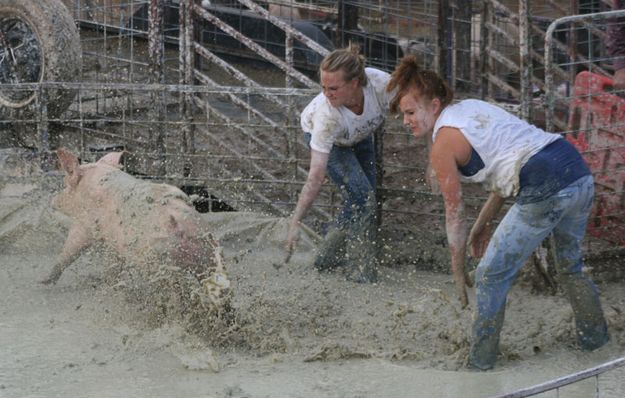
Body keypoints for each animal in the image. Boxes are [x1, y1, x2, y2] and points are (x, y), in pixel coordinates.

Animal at [42, 148, 232, 310]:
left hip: (160, 261)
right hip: (211, 255)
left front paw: (43, 281)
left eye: (66, 184)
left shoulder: (86, 225)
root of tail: (182, 224)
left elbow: (70, 251)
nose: (52, 200)